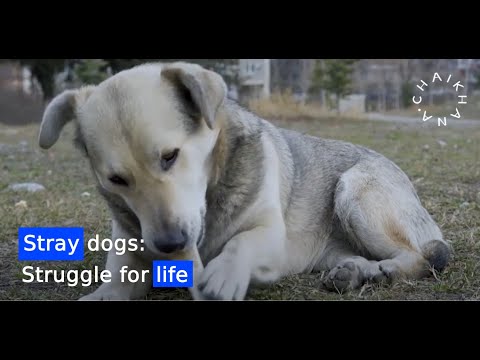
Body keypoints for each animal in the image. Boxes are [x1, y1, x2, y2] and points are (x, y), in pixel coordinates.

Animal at [37, 62, 450, 300]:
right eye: (117, 179)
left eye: (170, 156)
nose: (170, 245)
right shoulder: (128, 245)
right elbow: (117, 282)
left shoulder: (270, 237)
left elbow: (242, 243)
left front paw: (224, 272)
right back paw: (355, 272)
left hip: (354, 192)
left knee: (420, 257)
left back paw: (386, 271)